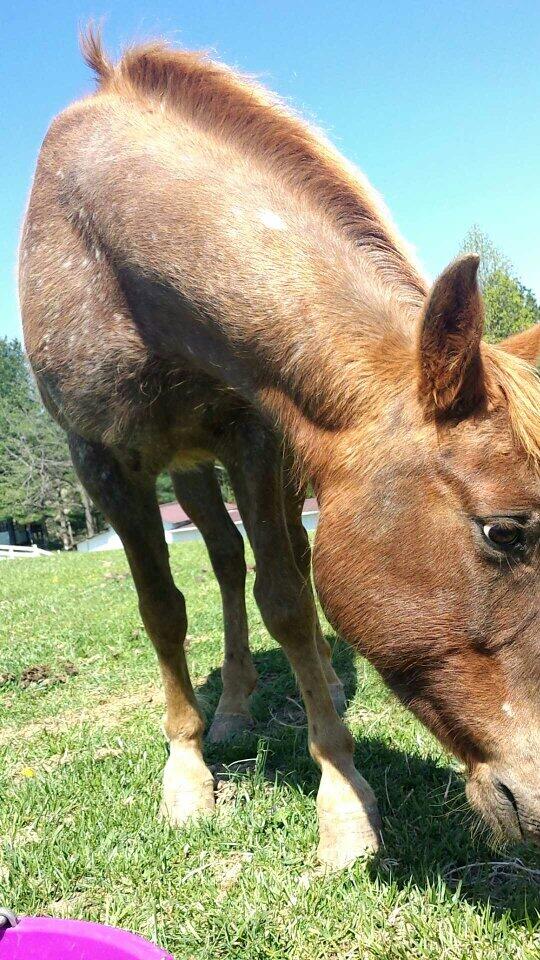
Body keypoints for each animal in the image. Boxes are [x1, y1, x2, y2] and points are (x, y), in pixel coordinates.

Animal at [19, 28, 540, 869]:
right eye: (505, 532)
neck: (109, 248)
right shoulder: (102, 460)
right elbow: (162, 609)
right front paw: (187, 774)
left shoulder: (258, 437)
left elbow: (290, 600)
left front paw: (343, 803)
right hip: (189, 470)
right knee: (227, 562)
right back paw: (230, 708)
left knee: (273, 560)